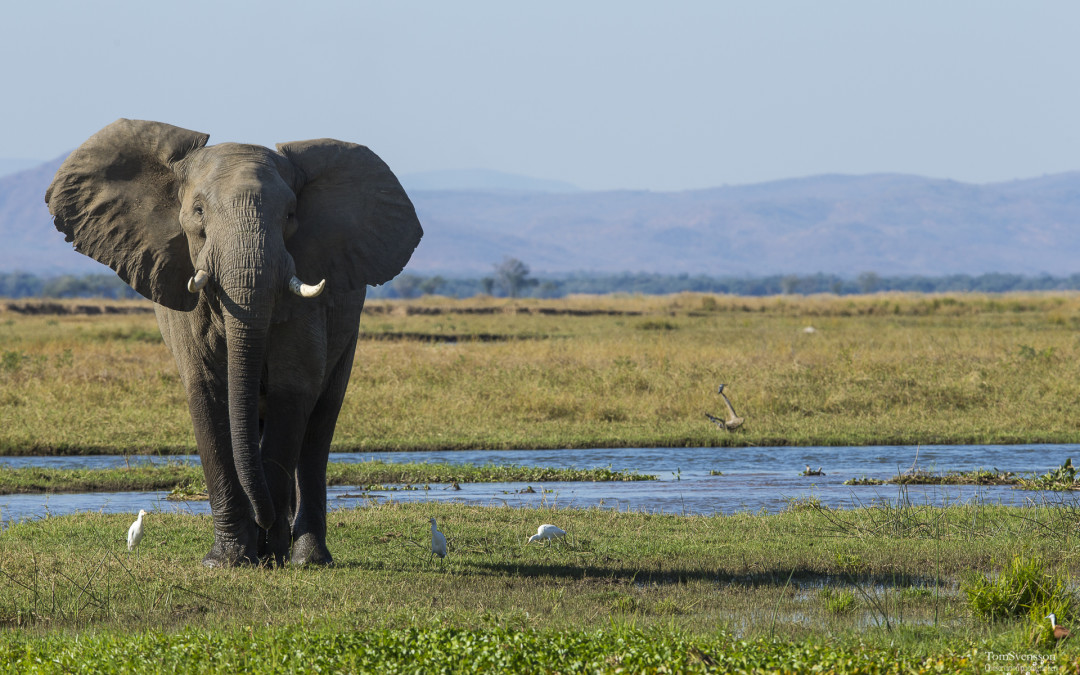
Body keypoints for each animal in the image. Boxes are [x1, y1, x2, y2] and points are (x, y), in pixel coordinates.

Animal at [48, 118, 423, 565]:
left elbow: (292, 391)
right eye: (197, 212)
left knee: (319, 426)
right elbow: (207, 394)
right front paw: (227, 560)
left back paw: (307, 557)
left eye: (291, 215)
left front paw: (271, 555)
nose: (265, 529)